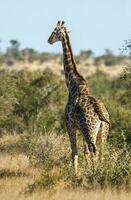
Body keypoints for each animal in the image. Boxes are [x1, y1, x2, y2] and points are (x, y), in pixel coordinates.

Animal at [48, 20, 109, 173]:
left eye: (54, 31)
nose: (49, 40)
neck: (73, 85)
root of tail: (101, 113)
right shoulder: (79, 128)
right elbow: (84, 151)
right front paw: (82, 170)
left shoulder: (70, 125)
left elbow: (74, 151)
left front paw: (75, 173)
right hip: (103, 132)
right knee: (101, 151)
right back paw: (102, 170)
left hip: (90, 130)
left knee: (94, 149)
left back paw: (95, 172)